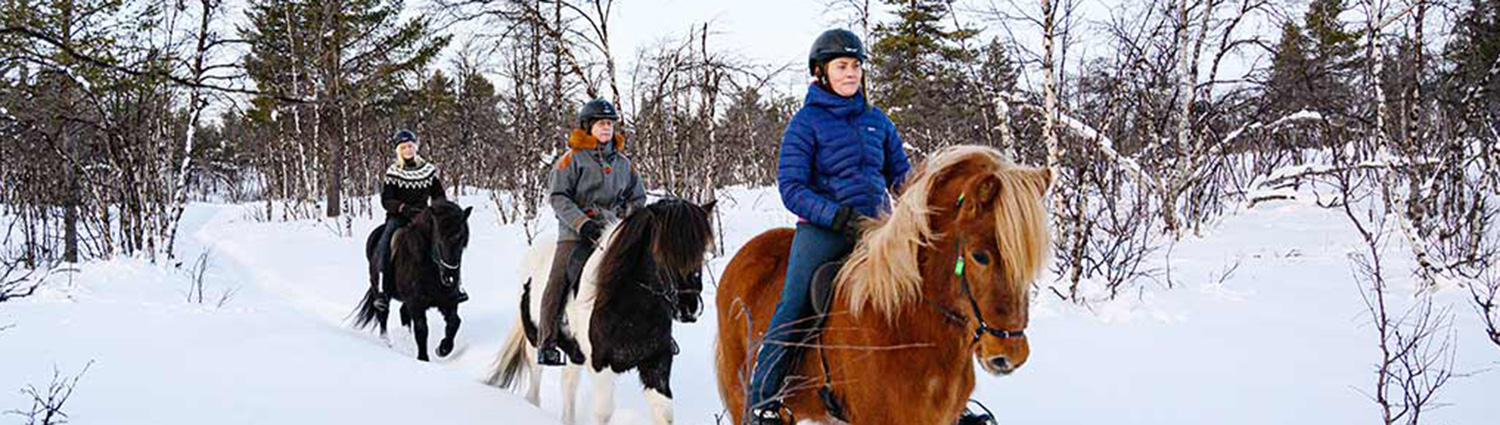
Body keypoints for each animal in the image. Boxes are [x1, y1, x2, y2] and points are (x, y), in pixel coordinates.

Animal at [354, 199, 471, 363]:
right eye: (439, 238)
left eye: (461, 238)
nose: (451, 276)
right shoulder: (416, 303)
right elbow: (421, 329)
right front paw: (423, 359)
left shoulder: (448, 301)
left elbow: (454, 322)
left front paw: (442, 349)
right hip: (379, 290)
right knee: (383, 315)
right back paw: (386, 343)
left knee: (403, 313)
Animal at [483, 199, 711, 425]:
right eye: (661, 252)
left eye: (701, 251)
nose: (689, 308)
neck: (632, 309)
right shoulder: (601, 366)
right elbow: (603, 413)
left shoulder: (656, 362)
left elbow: (664, 414)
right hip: (535, 340)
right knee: (535, 388)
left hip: (574, 351)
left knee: (568, 384)